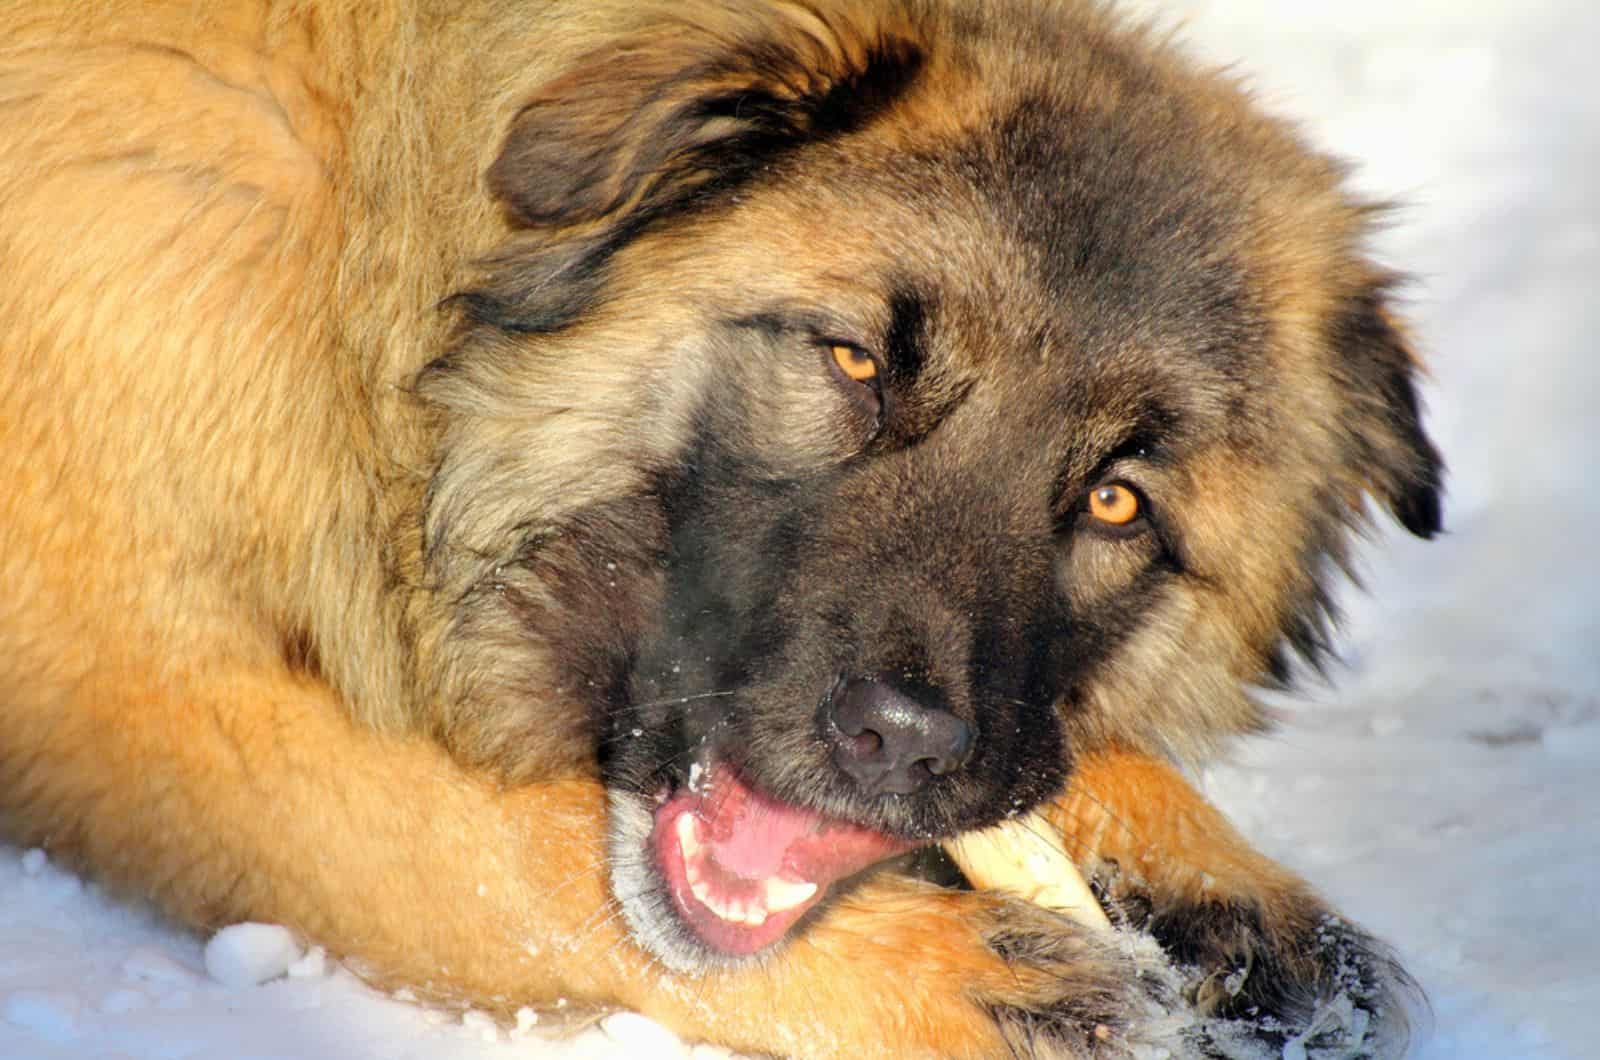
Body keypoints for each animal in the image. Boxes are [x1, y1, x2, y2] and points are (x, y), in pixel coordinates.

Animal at [0, 0, 1440, 1056]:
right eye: (855, 361)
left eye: (1115, 499)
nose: (901, 742)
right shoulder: (125, 698)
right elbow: (504, 857)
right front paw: (947, 977)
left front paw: (1206, 871)